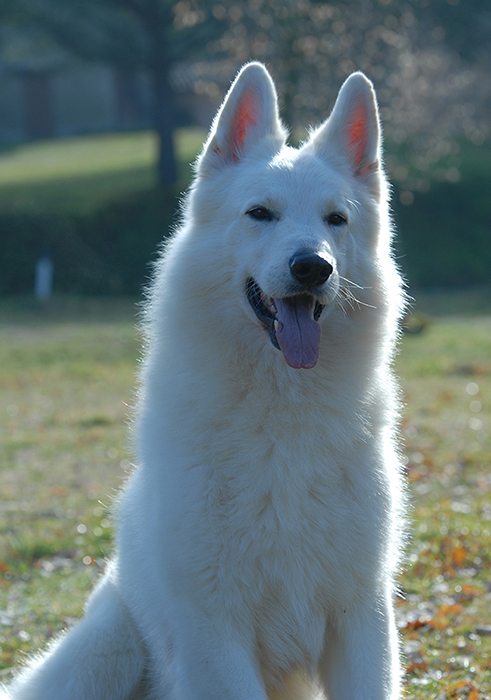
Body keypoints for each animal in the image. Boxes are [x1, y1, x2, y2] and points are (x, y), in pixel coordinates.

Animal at [1, 63, 406, 696]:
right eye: (259, 213)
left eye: (336, 220)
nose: (312, 267)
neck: (280, 417)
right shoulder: (216, 632)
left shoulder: (361, 617)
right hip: (106, 650)